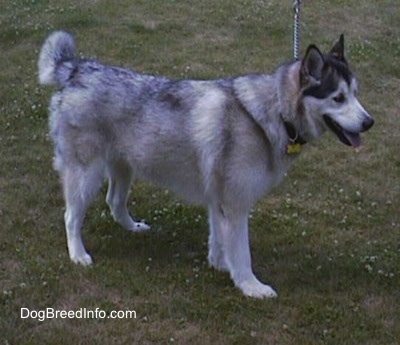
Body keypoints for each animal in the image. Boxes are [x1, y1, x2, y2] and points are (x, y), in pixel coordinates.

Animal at [39, 30, 374, 296]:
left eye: (356, 93)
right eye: (338, 98)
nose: (369, 122)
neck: (274, 113)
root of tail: (78, 69)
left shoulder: (219, 200)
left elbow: (219, 238)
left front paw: (219, 264)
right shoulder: (236, 204)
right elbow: (241, 251)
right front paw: (250, 286)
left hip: (124, 167)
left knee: (114, 201)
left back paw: (133, 227)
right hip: (86, 175)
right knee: (71, 217)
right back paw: (78, 254)